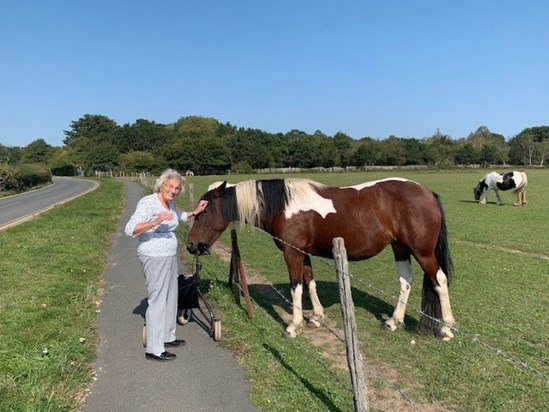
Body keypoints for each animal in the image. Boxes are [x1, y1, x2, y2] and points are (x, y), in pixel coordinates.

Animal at [186, 179, 456, 340]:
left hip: (422, 252)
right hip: (400, 248)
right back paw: (393, 321)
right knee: (405, 281)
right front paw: (316, 317)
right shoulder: (303, 253)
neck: (283, 205)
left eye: (204, 212)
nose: (191, 245)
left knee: (439, 280)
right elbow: (310, 282)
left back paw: (446, 327)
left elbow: (296, 287)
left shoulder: (292, 253)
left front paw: (294, 326)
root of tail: (427, 192)